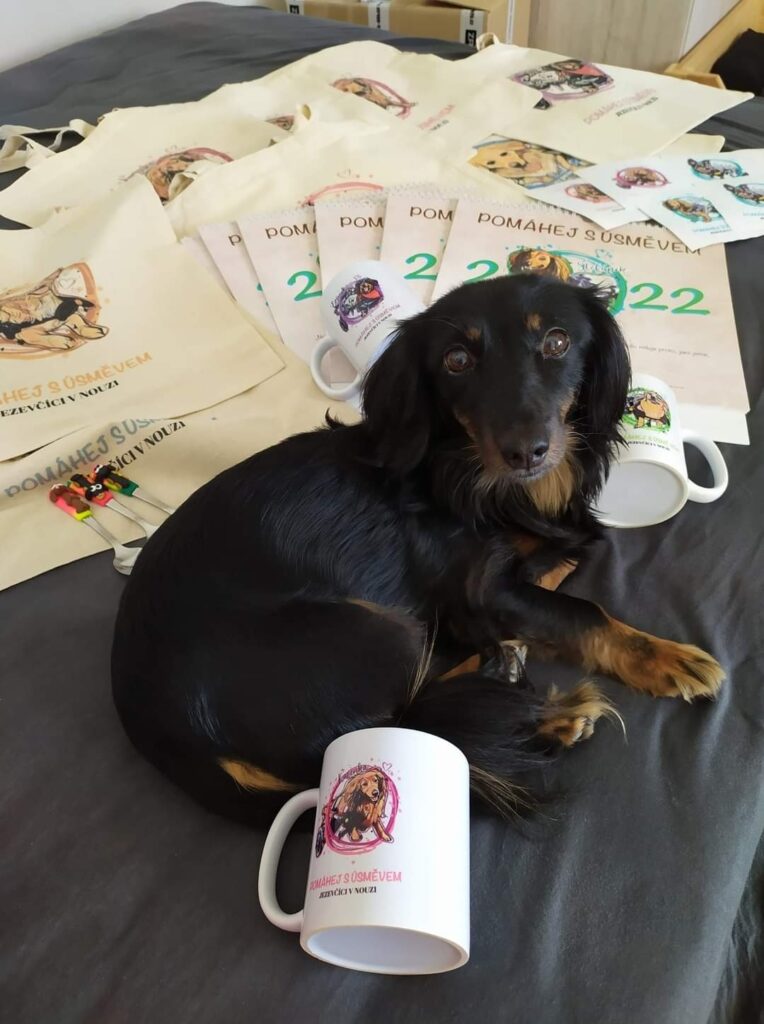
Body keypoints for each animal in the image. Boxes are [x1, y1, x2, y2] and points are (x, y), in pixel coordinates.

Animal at [111, 275, 725, 825]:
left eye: (556, 342)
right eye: (456, 360)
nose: (525, 452)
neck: (473, 476)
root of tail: (172, 743)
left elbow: (562, 562)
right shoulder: (482, 588)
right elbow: (582, 610)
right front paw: (667, 657)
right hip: (373, 627)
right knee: (408, 720)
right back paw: (541, 709)